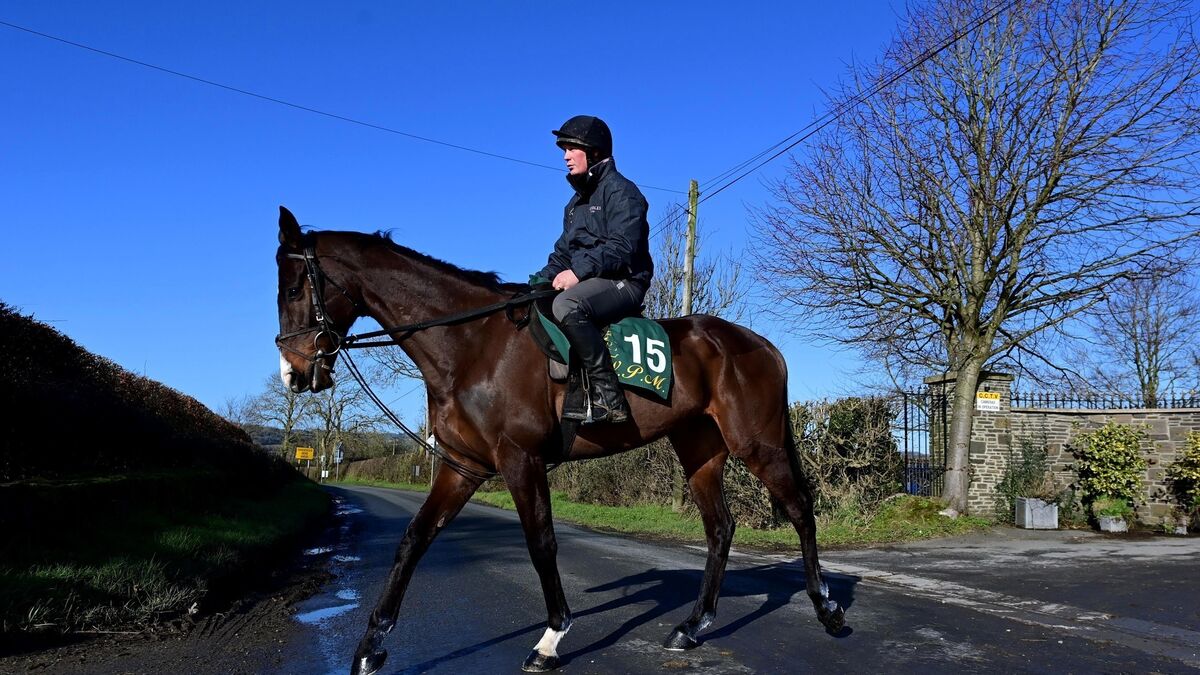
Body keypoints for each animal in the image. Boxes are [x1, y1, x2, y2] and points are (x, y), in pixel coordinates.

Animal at [272, 206, 846, 674]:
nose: (293, 374)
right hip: (699, 449)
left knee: (800, 509)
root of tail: (760, 344)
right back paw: (692, 626)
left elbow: (541, 541)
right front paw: (370, 647)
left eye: (296, 288)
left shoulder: (519, 459)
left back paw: (827, 609)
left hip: (758, 443)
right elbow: (414, 540)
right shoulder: (461, 466)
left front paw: (549, 640)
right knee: (721, 528)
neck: (472, 344)